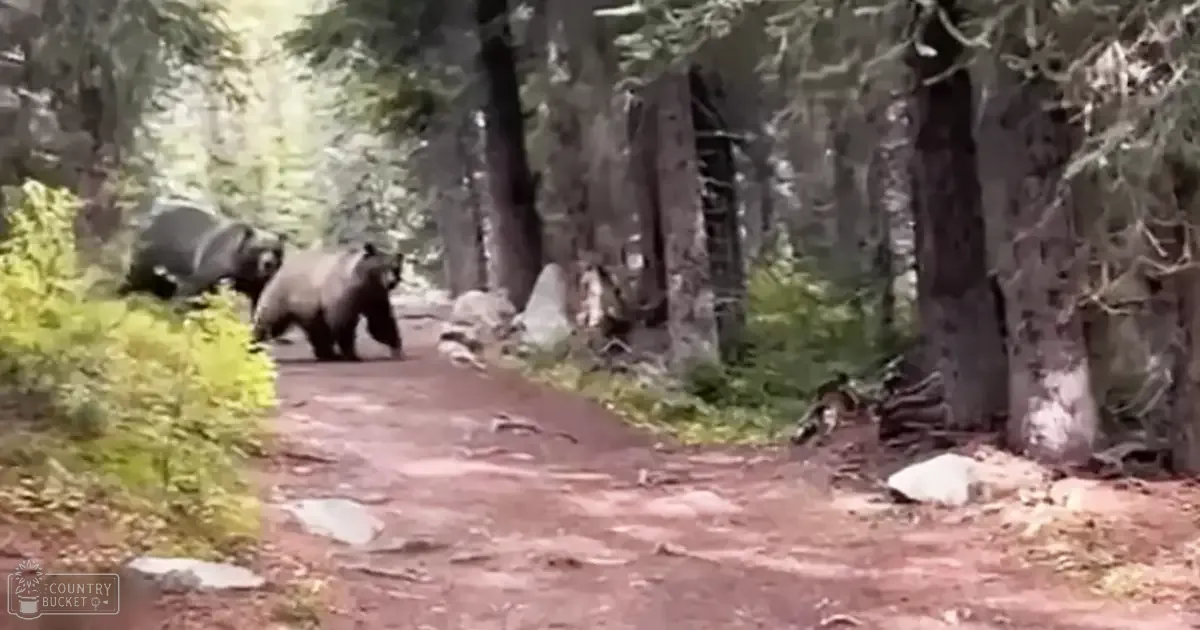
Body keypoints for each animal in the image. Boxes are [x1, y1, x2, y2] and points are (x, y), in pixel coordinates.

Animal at [119, 198, 286, 310]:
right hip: (155, 251)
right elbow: (195, 285)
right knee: (137, 275)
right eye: (258, 248)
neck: (243, 268)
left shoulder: (255, 283)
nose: (268, 264)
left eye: (276, 250)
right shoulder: (218, 262)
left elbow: (257, 301)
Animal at [251, 242, 404, 362]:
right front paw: (352, 354)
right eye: (382, 266)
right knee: (269, 322)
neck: (365, 281)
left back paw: (327, 354)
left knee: (317, 330)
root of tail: (279, 270)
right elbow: (343, 322)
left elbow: (381, 321)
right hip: (283, 296)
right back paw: (253, 344)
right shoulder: (345, 293)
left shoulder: (375, 296)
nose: (391, 282)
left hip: (309, 308)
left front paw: (396, 348)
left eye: (396, 268)